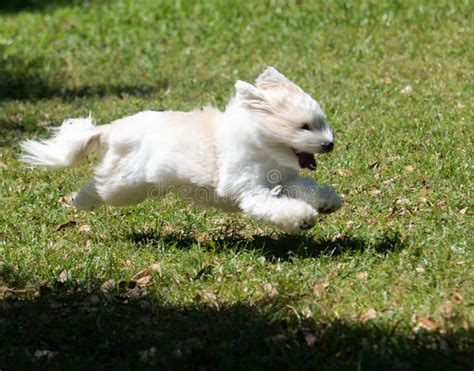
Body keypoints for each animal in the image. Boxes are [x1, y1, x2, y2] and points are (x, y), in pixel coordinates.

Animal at [21, 67, 340, 232]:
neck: (262, 147)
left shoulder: (286, 179)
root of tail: (114, 128)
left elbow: (305, 187)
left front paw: (325, 202)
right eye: (304, 126)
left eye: (321, 122)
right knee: (99, 185)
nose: (329, 143)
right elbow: (274, 205)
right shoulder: (248, 189)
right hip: (125, 185)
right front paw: (302, 217)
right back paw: (82, 201)